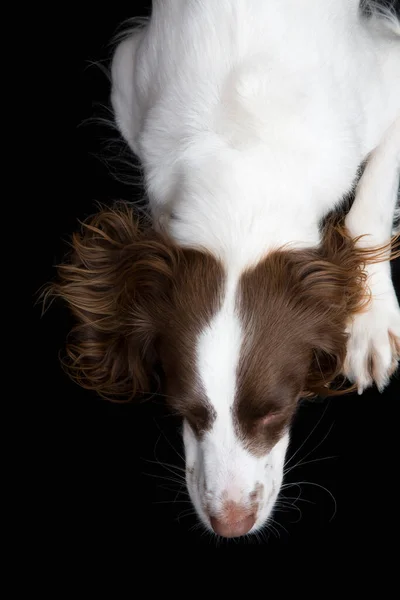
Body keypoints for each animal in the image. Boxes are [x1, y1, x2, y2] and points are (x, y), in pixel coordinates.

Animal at [50, 1, 400, 540]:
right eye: (183, 412)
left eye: (276, 411)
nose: (230, 526)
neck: (242, 149)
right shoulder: (128, 77)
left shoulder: (387, 67)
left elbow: (371, 208)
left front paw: (372, 322)